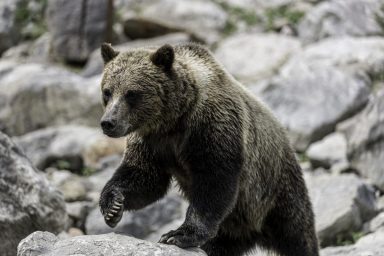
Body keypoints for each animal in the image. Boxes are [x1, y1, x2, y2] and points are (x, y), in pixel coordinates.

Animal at [98, 43, 318, 255]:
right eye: (107, 91)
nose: (108, 122)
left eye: (132, 93)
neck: (173, 121)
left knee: (297, 231)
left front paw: (178, 234)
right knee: (220, 244)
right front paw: (113, 206)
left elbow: (213, 182)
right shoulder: (153, 143)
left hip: (274, 187)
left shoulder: (211, 127)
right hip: (234, 228)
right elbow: (144, 177)